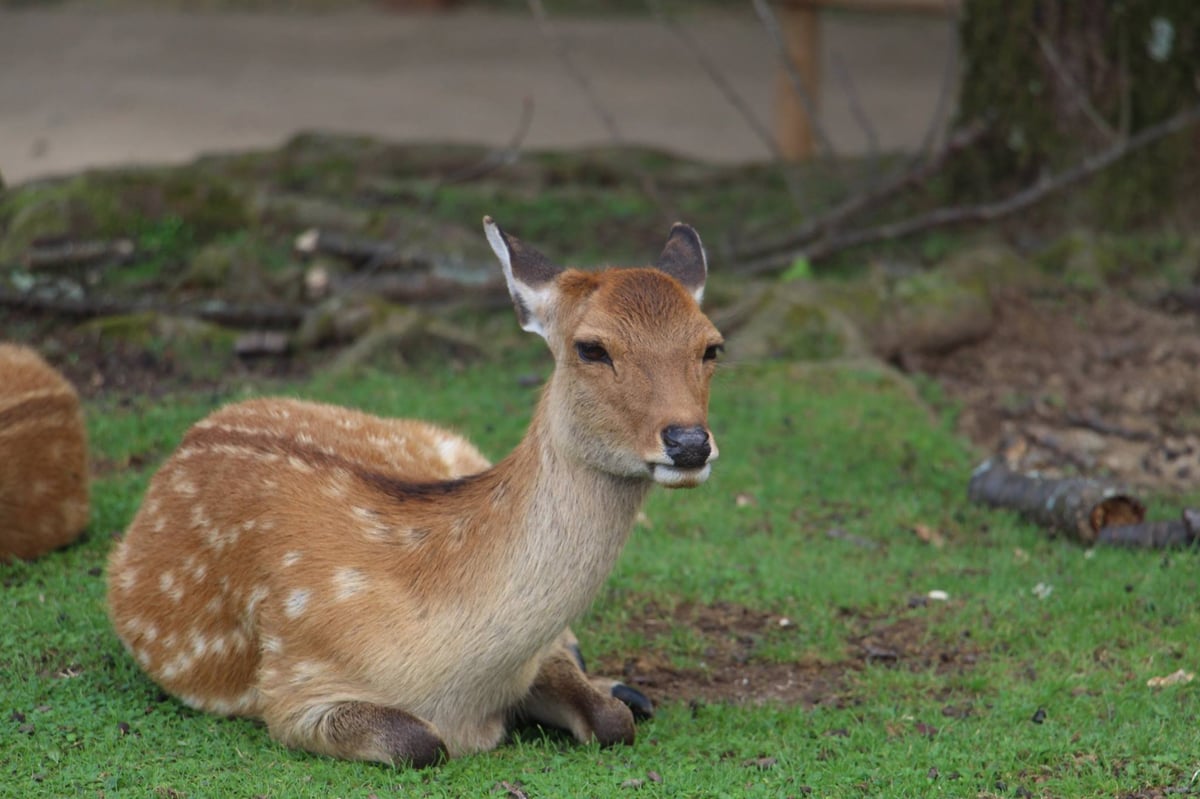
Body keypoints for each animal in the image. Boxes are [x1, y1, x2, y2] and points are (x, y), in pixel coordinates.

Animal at [105, 214, 720, 763]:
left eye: (711, 347)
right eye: (591, 347)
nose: (689, 442)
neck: (458, 683)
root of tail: (200, 427)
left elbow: (610, 719)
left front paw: (616, 695)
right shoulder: (294, 685)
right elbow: (419, 742)